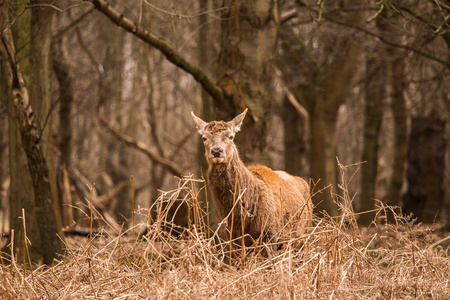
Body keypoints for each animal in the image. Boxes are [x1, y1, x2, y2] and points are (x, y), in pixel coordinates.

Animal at [191, 108, 312, 251]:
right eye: (204, 138)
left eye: (231, 136)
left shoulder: (270, 235)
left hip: (304, 234)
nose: (216, 151)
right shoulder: (234, 239)